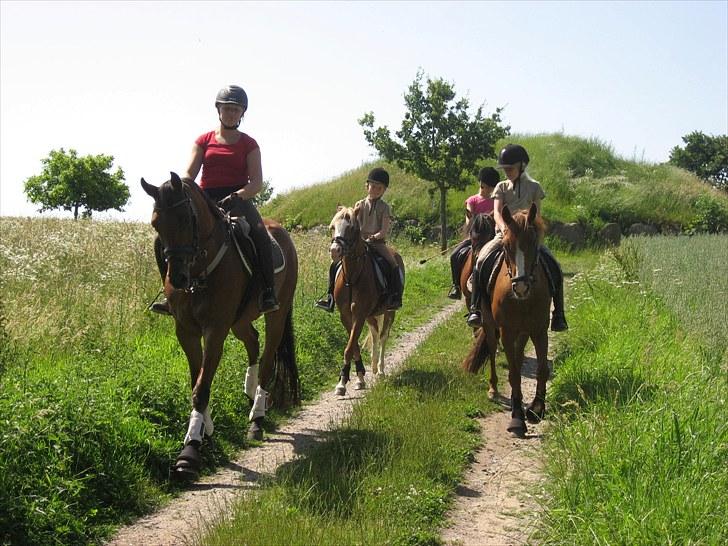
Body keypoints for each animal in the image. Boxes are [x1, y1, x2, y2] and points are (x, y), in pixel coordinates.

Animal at [141, 171, 300, 480]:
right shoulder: (186, 331)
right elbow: (197, 380)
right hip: (239, 321)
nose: (177, 278)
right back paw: (249, 392)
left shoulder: (215, 331)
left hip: (275, 314)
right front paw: (205, 430)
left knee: (267, 356)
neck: (199, 272)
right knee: (253, 340)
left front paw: (190, 450)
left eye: (186, 219)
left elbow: (201, 388)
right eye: (156, 223)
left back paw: (257, 416)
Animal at [328, 206, 406, 394]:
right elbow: (354, 345)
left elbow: (349, 347)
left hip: (389, 312)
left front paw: (342, 383)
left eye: (351, 228)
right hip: (371, 315)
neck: (352, 276)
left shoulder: (359, 314)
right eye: (333, 227)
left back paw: (381, 370)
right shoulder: (347, 316)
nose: (335, 251)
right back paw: (374, 367)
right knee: (376, 335)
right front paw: (357, 378)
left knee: (383, 336)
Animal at [464, 202, 548, 436]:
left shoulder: (539, 329)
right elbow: (513, 374)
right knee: (493, 351)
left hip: (523, 332)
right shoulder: (507, 331)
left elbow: (541, 369)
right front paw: (517, 417)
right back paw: (493, 388)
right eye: (507, 247)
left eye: (534, 244)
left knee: (518, 357)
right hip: (491, 324)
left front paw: (537, 408)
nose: (521, 287)